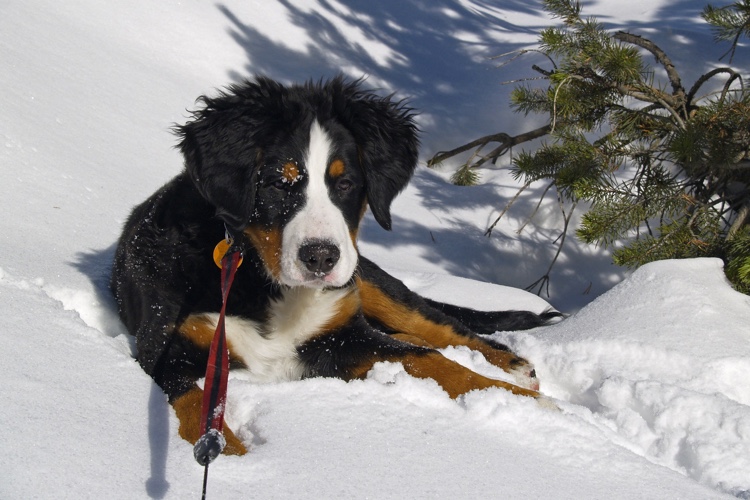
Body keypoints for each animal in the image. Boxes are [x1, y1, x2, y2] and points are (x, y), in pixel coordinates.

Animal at [110, 76, 560, 456]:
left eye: (345, 184)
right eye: (277, 183)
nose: (321, 257)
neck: (259, 278)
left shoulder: (340, 334)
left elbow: (431, 359)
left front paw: (526, 404)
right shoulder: (165, 346)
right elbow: (196, 408)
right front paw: (236, 462)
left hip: (368, 282)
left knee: (439, 326)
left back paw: (513, 367)